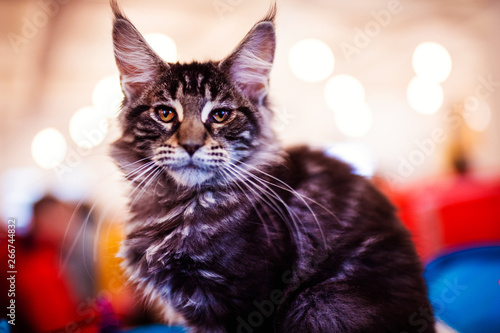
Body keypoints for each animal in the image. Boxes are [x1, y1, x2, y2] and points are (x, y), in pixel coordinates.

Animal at [109, 1, 434, 330]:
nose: (190, 144)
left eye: (220, 115)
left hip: (319, 301)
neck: (184, 206)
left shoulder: (248, 303)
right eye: (165, 113)